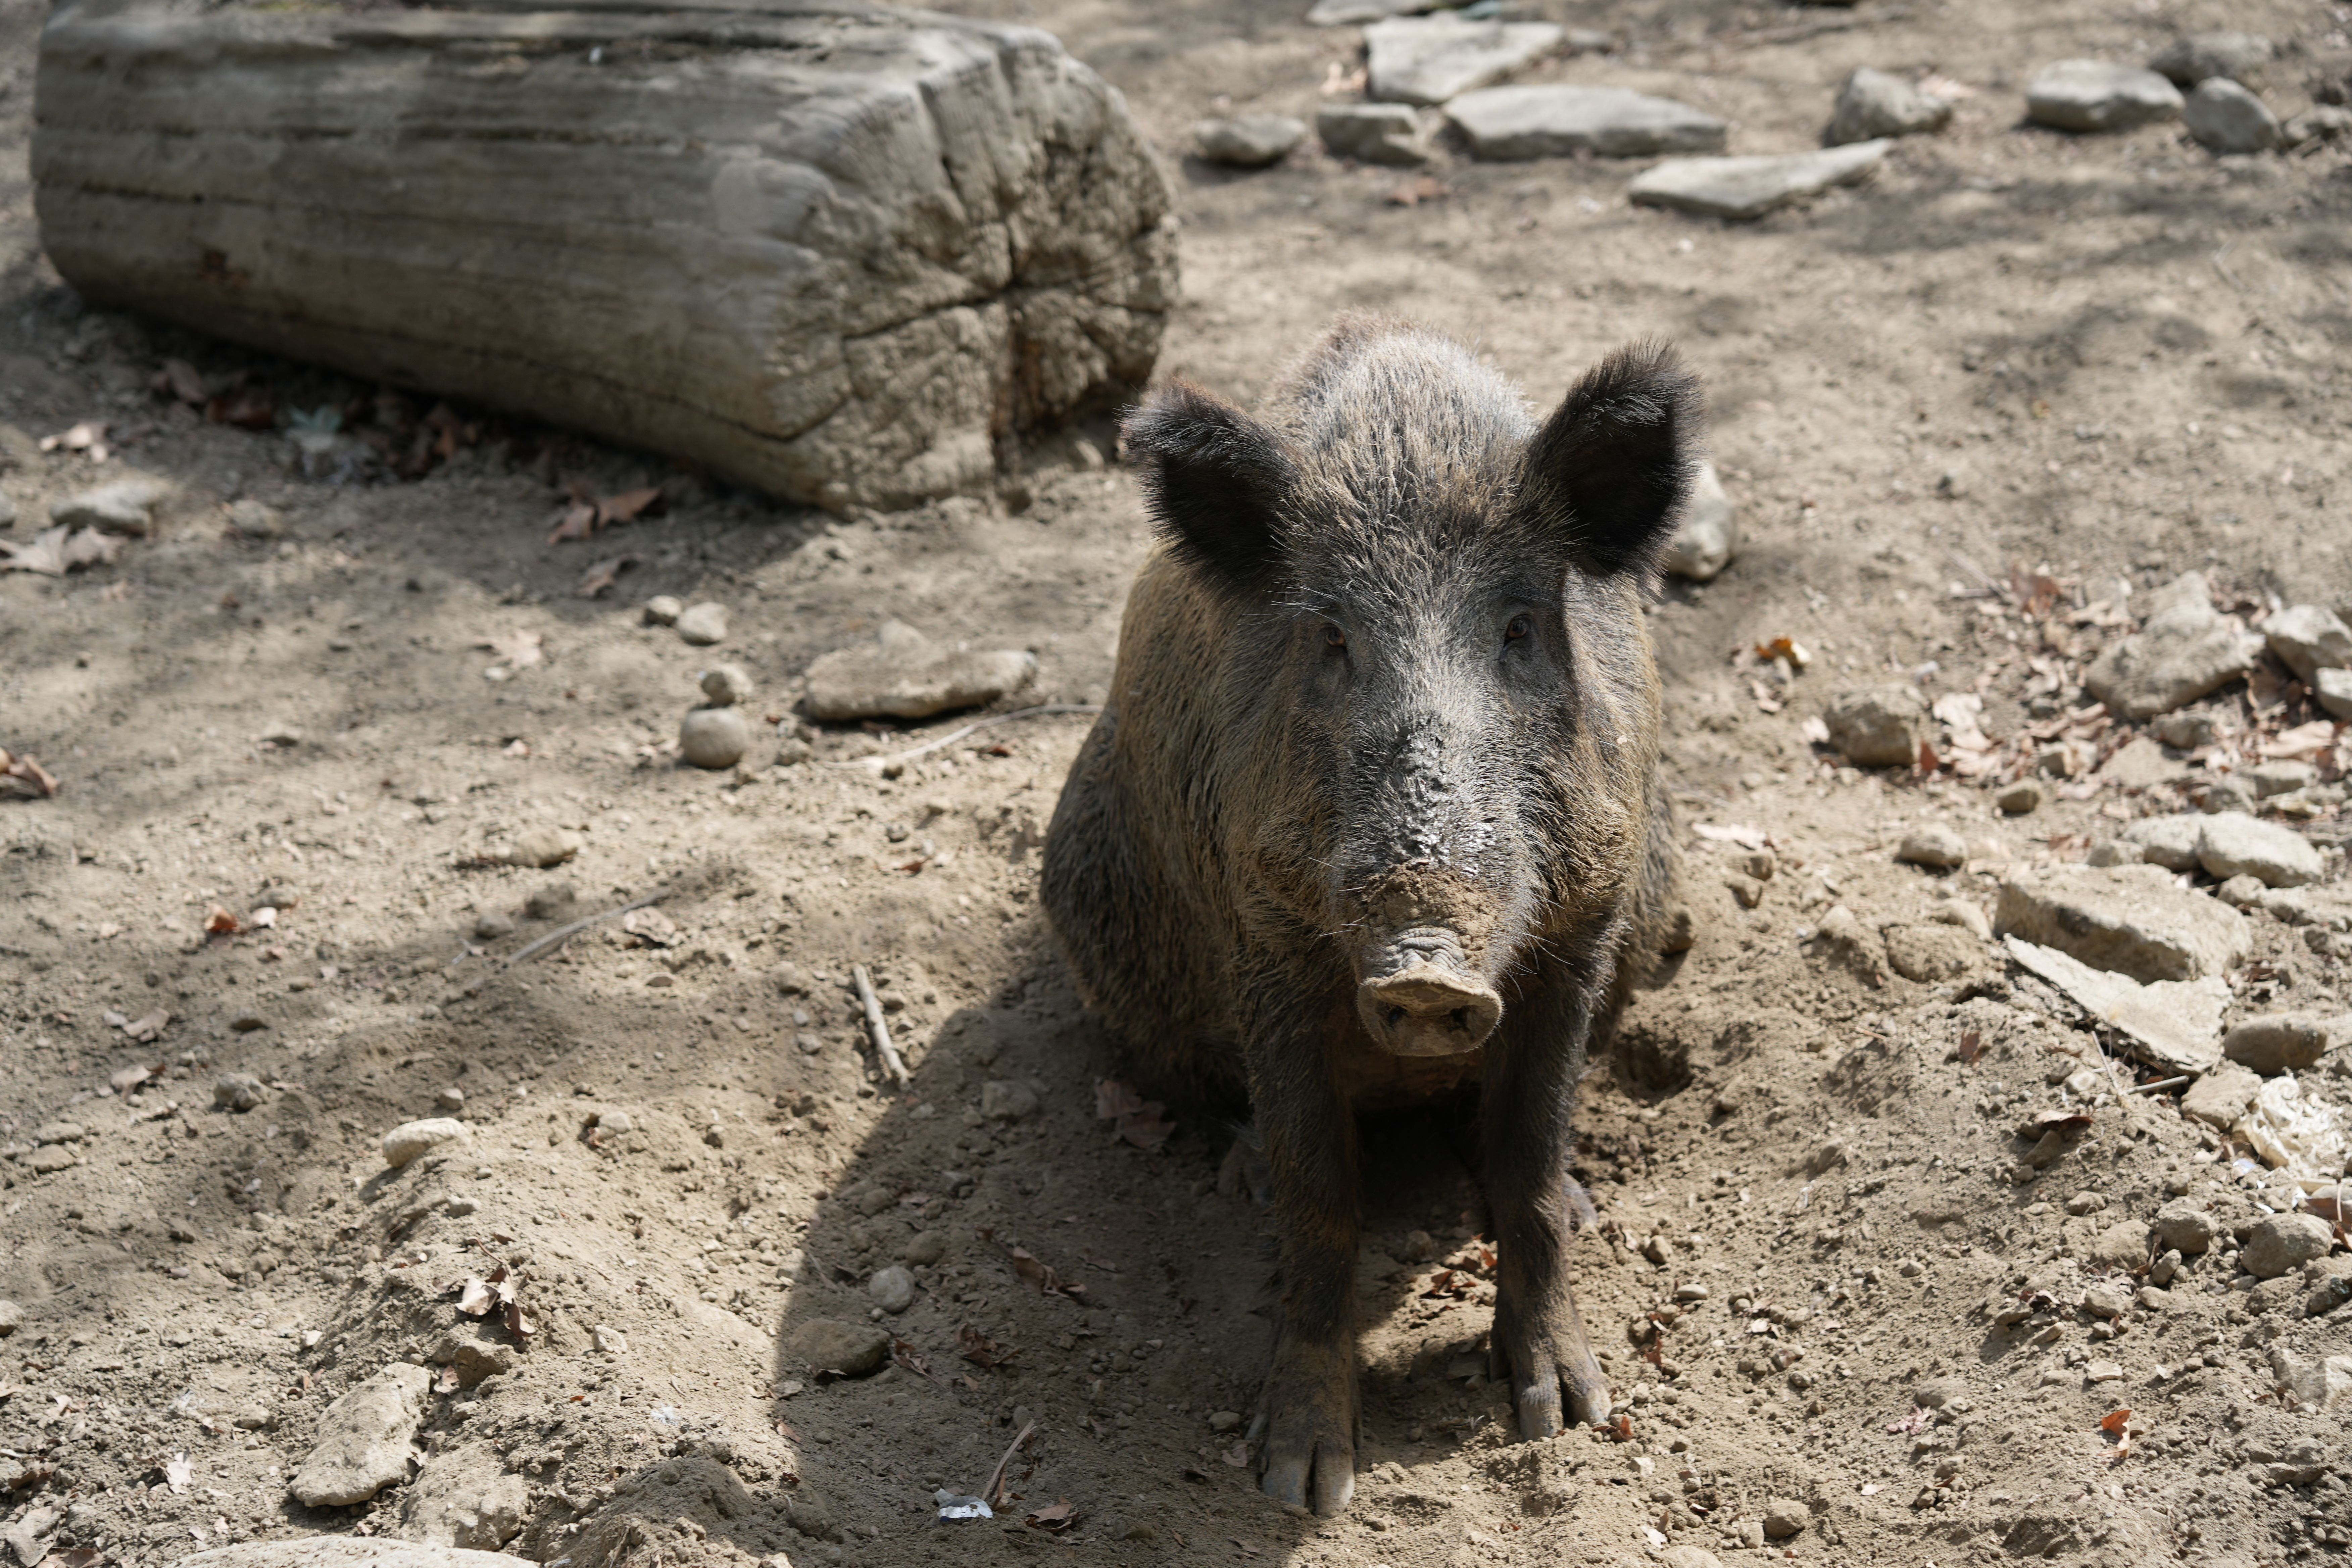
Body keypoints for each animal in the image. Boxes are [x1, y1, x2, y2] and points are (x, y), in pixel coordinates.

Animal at [1041, 315, 1693, 1514]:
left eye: (1521, 628)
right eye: (1333, 638)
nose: (1424, 968)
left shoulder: (1581, 933)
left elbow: (1528, 1167)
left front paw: (1566, 1414)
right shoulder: (1264, 939)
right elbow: (1319, 1198)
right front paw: (1304, 1485)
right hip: (1094, 919)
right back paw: (1239, 1175)